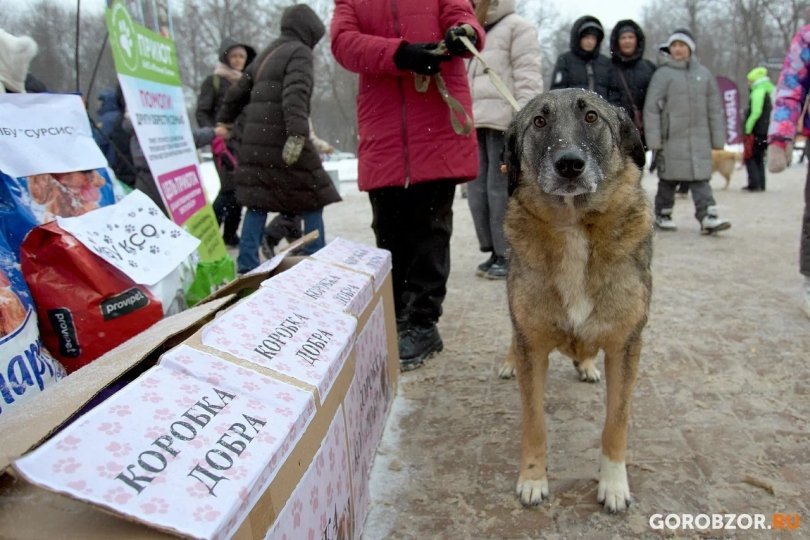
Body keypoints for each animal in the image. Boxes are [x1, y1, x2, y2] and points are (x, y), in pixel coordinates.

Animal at [498, 90, 652, 512]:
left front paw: (614, 484)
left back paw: (586, 364)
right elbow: (534, 423)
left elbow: (616, 423)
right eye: (539, 122)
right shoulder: (532, 345)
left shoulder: (626, 346)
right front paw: (533, 479)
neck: (574, 225)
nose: (569, 164)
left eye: (592, 116)